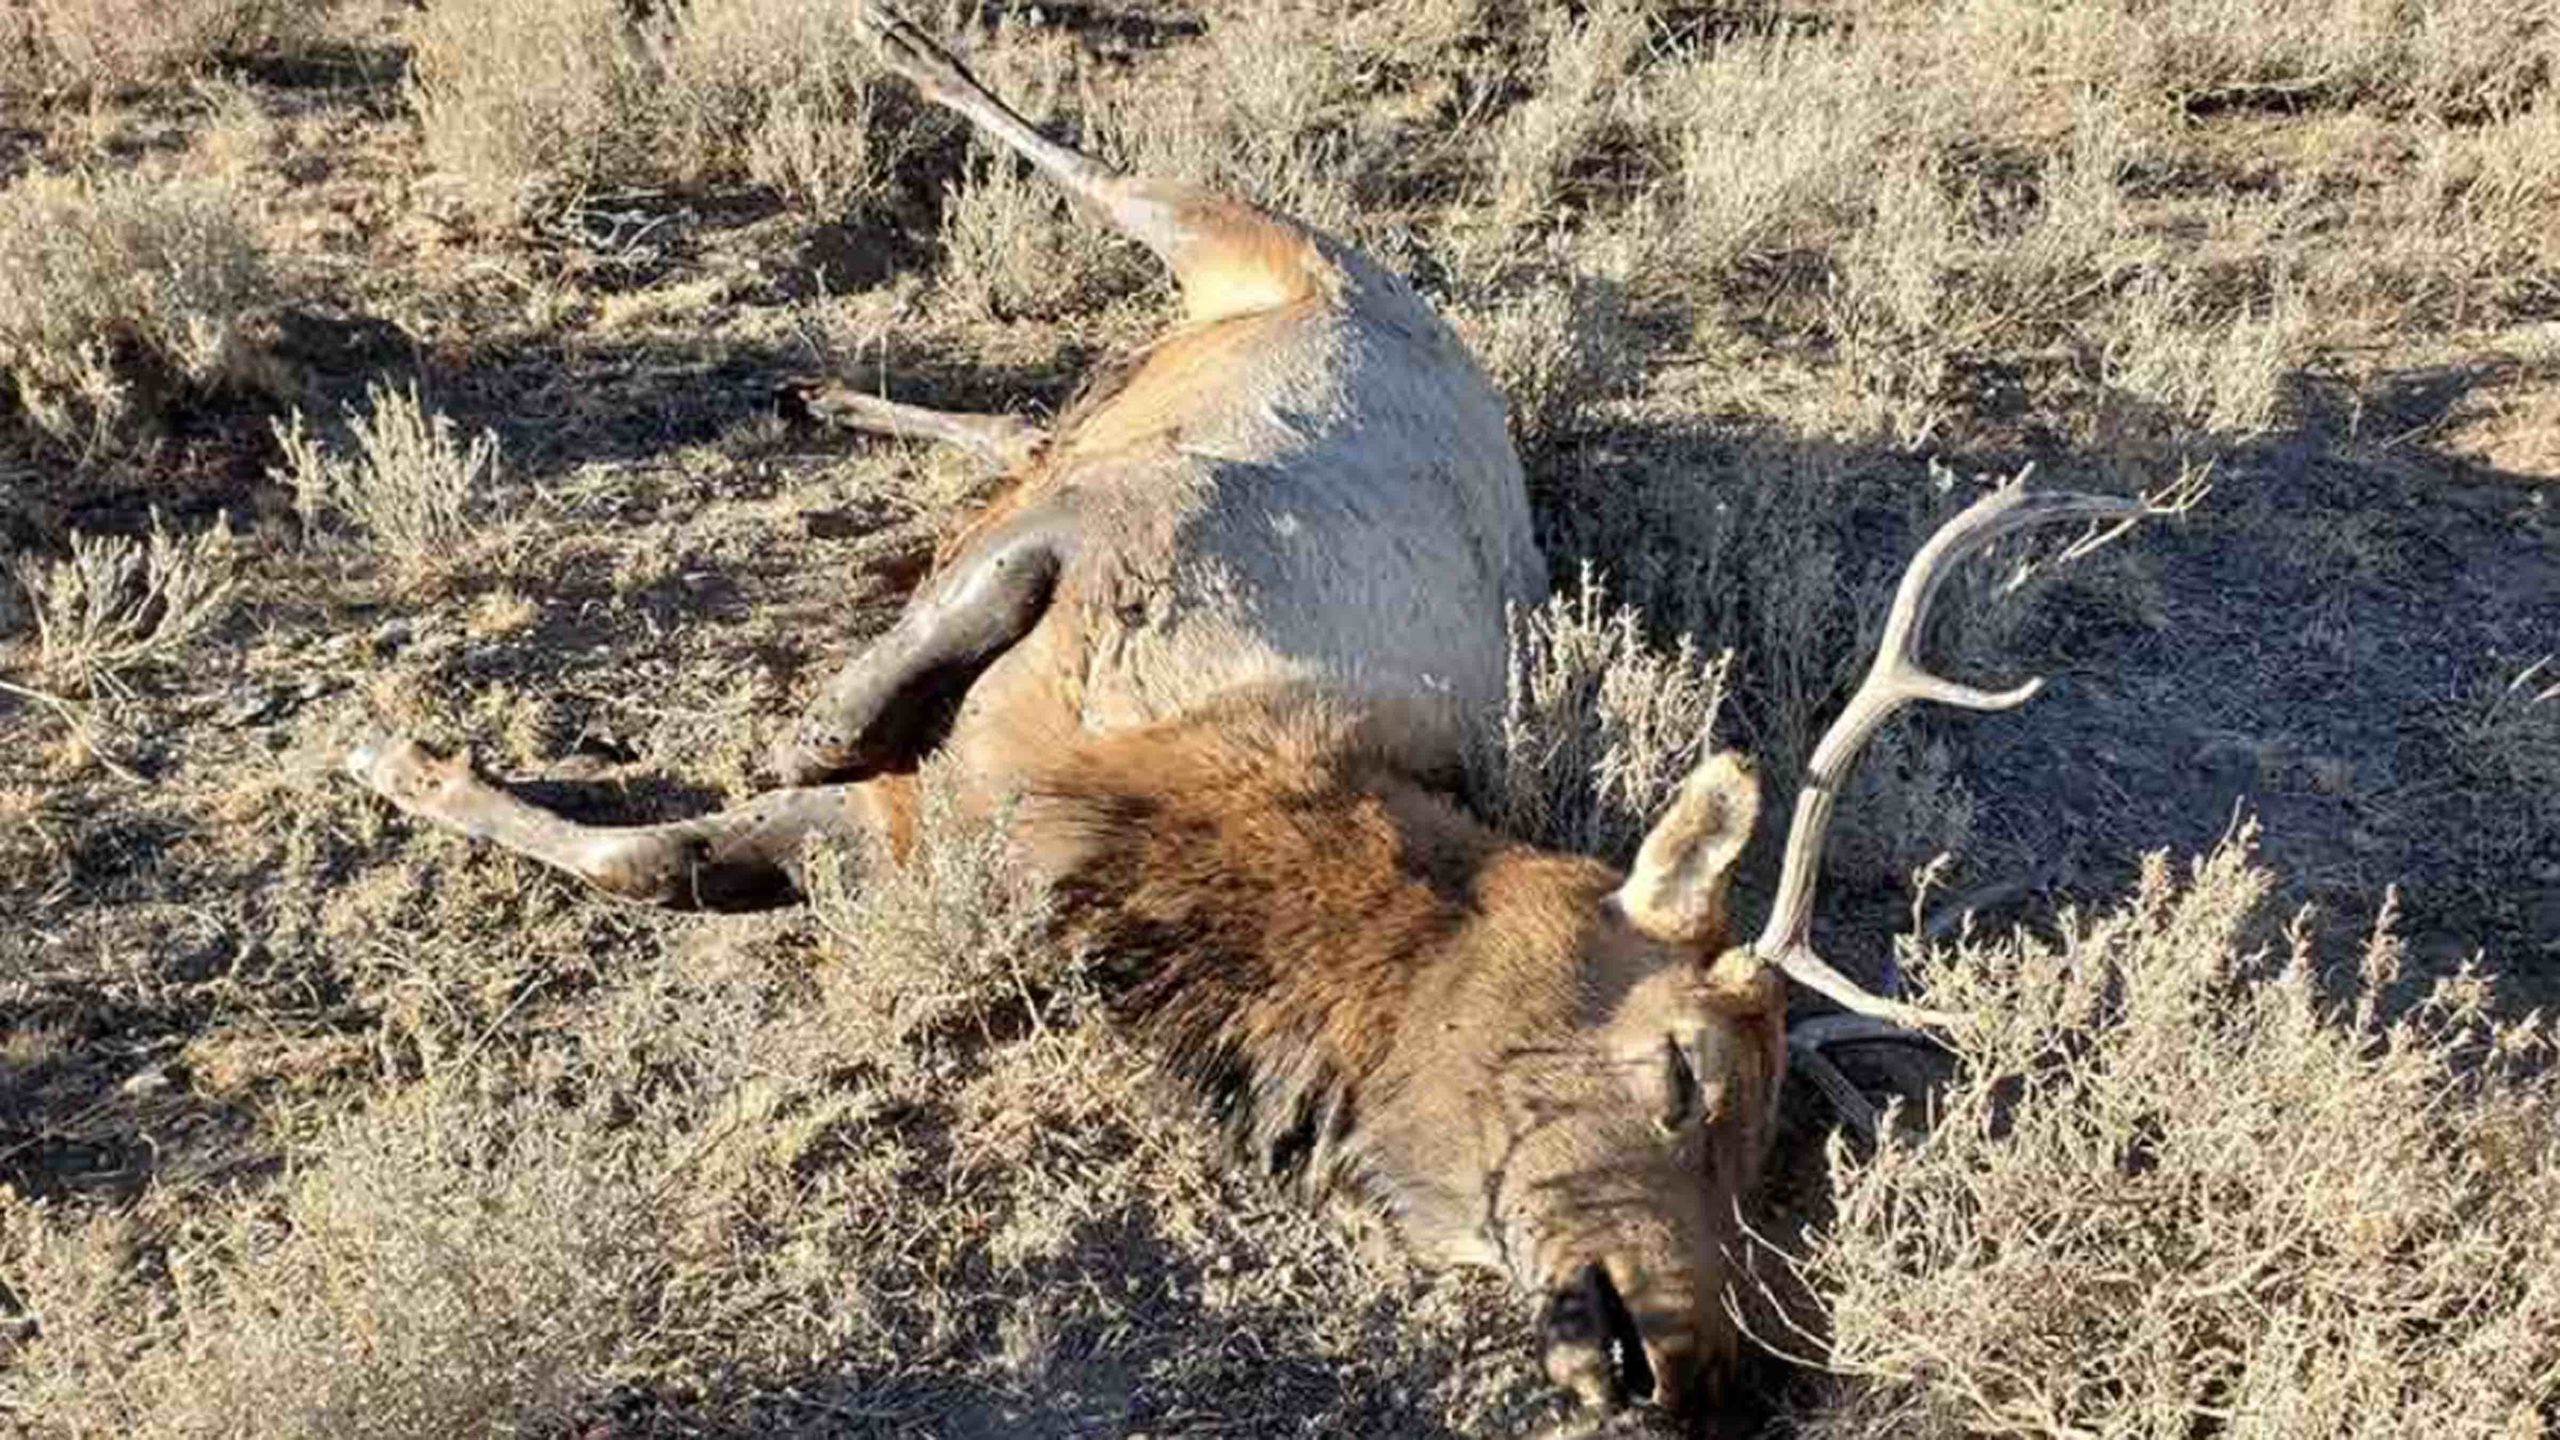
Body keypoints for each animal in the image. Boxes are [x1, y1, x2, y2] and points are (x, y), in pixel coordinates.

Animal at [343, 4, 2161, 1419]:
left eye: (1782, 1141)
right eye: (1687, 1077)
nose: (1703, 1371)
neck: (1195, 827)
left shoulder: (932, 832)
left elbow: (665, 858)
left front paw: (430, 756)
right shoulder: (1120, 542)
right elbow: (833, 714)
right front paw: (410, 742)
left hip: (1149, 359)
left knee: (1011, 416)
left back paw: (820, 387)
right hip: (1257, 245)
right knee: (1094, 180)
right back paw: (894, 45)